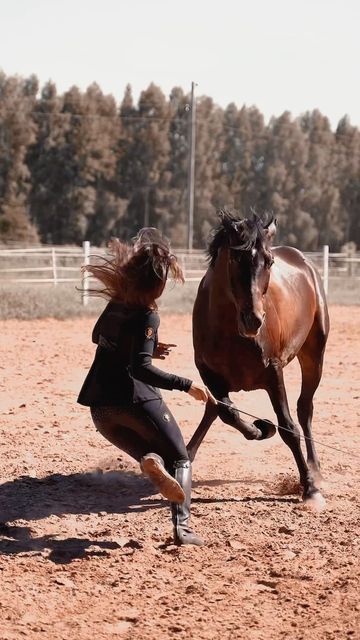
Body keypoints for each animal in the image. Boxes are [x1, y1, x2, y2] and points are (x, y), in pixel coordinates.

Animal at [188, 210, 330, 504]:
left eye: (269, 261)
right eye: (234, 258)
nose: (253, 320)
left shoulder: (273, 372)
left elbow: (288, 426)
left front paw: (310, 488)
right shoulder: (208, 373)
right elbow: (226, 412)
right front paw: (260, 429)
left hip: (314, 355)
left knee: (305, 409)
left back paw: (315, 471)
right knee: (214, 410)